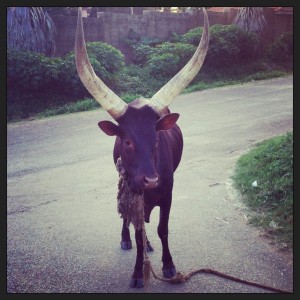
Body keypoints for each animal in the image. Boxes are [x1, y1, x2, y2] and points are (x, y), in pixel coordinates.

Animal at [75, 7, 209, 288]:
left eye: (156, 139)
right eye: (127, 141)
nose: (150, 180)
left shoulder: (168, 193)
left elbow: (162, 229)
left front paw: (168, 266)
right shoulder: (133, 189)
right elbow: (136, 229)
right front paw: (137, 272)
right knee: (129, 219)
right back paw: (126, 239)